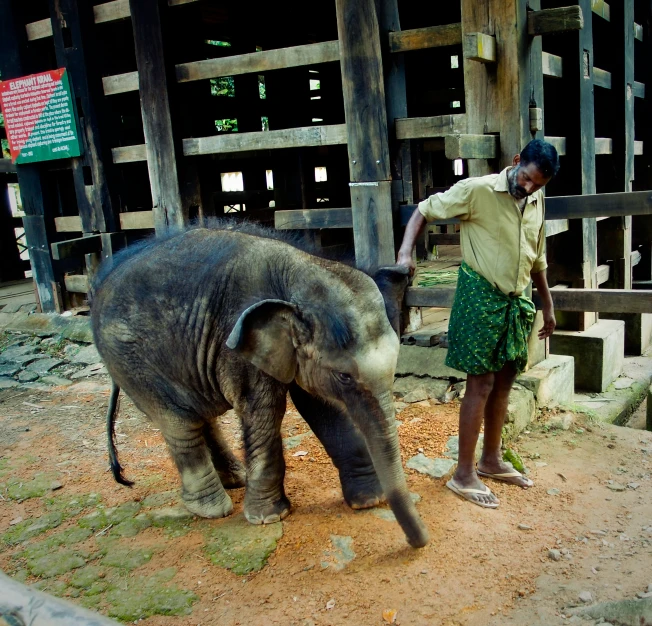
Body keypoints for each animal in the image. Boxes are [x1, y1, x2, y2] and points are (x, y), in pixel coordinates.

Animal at [90, 221, 428, 544]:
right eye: (344, 376)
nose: (416, 543)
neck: (300, 269)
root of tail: (101, 282)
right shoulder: (235, 345)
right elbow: (265, 410)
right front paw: (269, 518)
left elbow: (321, 406)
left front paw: (369, 500)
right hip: (131, 362)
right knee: (179, 422)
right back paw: (213, 509)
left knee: (197, 416)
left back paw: (235, 480)